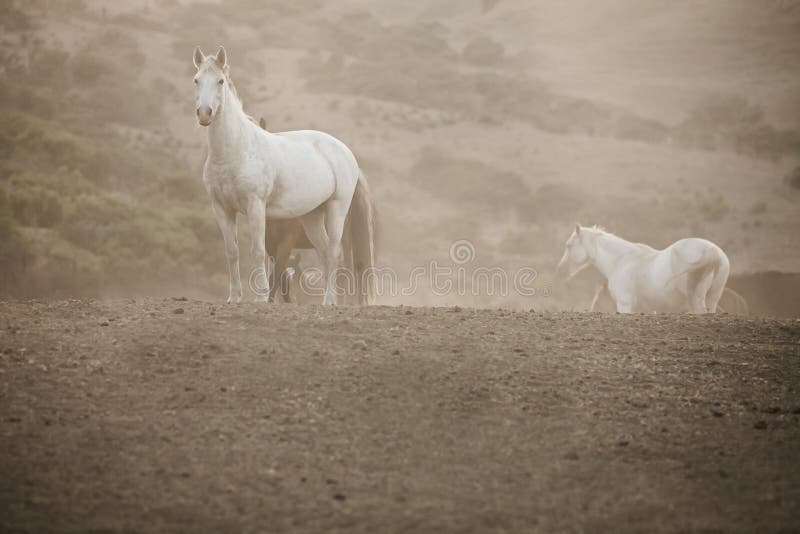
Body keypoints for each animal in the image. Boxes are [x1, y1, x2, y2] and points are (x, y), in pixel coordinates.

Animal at [191, 47, 376, 306]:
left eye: (220, 81)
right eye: (196, 80)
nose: (205, 114)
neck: (236, 150)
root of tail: (346, 152)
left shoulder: (256, 206)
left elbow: (258, 252)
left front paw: (260, 297)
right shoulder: (222, 208)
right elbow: (232, 252)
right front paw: (234, 297)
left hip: (337, 210)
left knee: (334, 253)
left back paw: (330, 301)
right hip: (312, 216)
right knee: (325, 252)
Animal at [560, 225, 728, 314]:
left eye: (569, 246)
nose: (561, 269)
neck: (621, 260)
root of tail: (712, 250)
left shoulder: (624, 305)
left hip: (697, 300)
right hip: (712, 299)